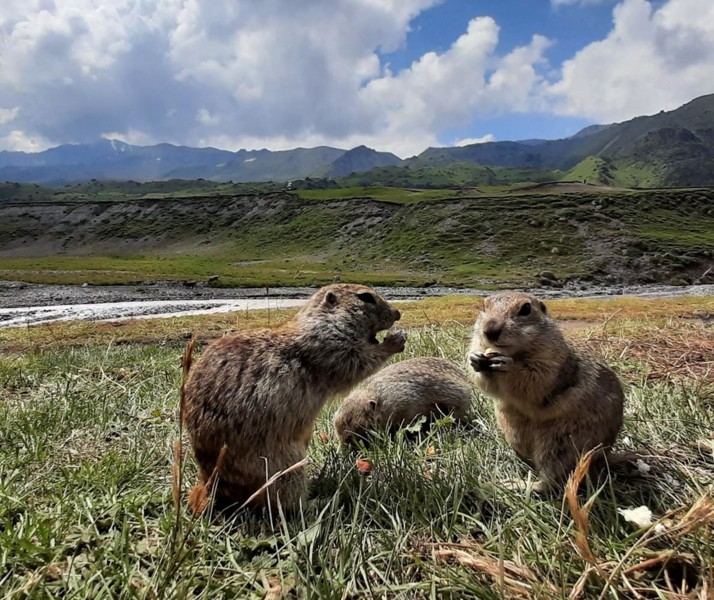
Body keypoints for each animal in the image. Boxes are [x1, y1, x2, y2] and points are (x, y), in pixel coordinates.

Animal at [182, 284, 406, 512]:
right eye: (366, 297)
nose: (398, 313)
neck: (321, 323)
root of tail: (211, 485)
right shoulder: (328, 347)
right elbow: (356, 360)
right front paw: (395, 341)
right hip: (283, 466)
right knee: (285, 501)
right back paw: (324, 500)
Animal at [464, 292, 620, 492]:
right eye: (484, 306)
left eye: (525, 309)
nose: (490, 330)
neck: (516, 352)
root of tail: (604, 457)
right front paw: (475, 359)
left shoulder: (550, 359)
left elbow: (535, 379)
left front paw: (508, 365)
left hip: (561, 444)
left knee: (552, 480)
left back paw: (515, 484)